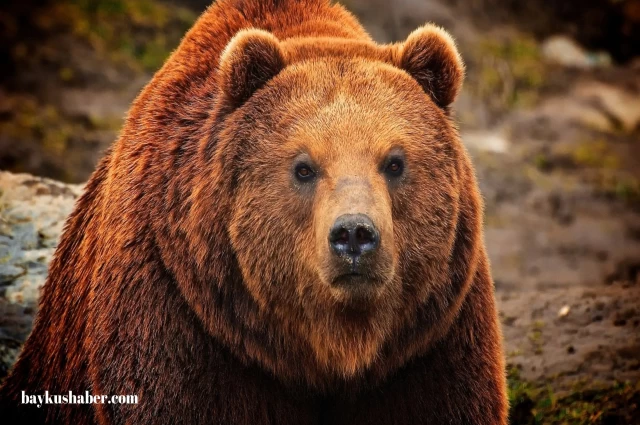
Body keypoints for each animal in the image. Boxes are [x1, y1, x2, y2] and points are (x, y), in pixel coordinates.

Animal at [2, 0, 508, 422]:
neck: (331, 349)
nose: (354, 235)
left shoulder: (429, 340)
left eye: (395, 162)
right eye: (303, 167)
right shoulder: (179, 317)